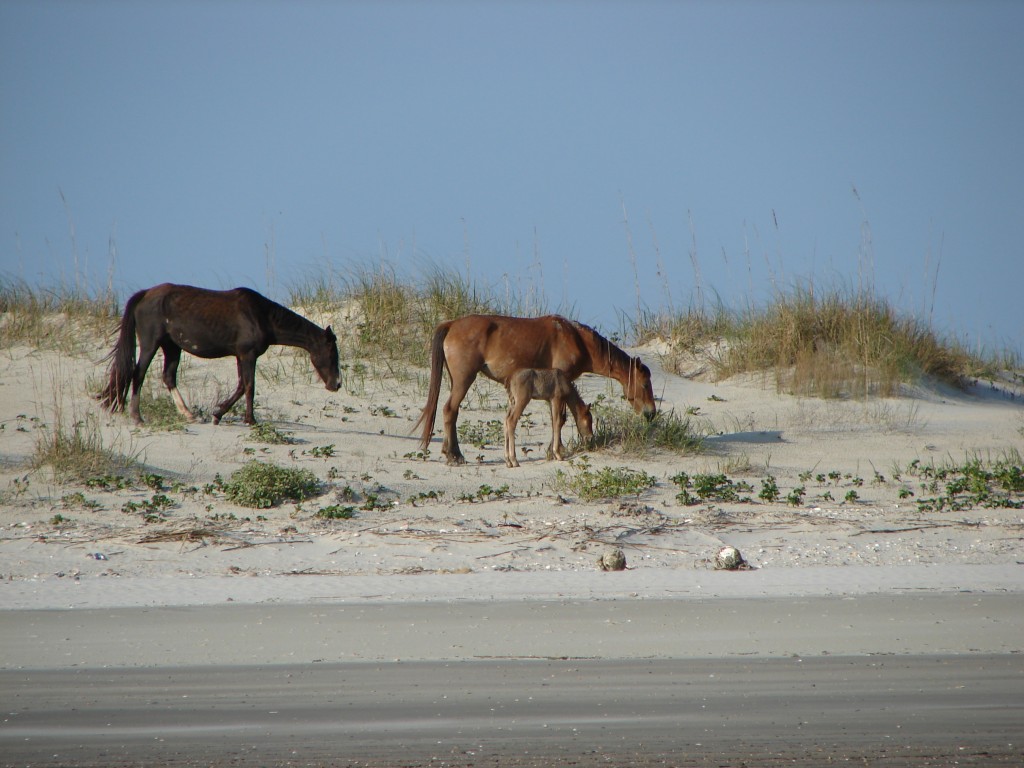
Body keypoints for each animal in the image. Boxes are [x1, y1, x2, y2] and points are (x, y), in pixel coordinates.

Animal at [97, 282, 342, 428]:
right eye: (332, 354)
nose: (337, 384)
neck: (261, 316)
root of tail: (145, 295)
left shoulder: (240, 355)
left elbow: (241, 386)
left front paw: (218, 414)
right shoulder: (248, 354)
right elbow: (249, 386)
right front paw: (250, 420)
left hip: (172, 346)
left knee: (168, 377)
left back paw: (189, 414)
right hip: (151, 343)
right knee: (138, 374)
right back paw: (137, 417)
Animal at [415, 313, 655, 468]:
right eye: (645, 384)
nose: (651, 413)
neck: (577, 339)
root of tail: (452, 324)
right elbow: (560, 419)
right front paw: (555, 452)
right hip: (464, 379)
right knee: (449, 410)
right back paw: (454, 455)